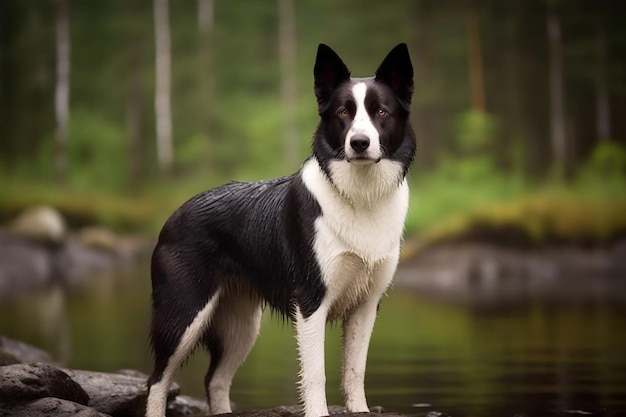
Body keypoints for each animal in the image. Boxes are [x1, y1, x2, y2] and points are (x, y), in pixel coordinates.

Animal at [144, 43, 412, 416]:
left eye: (381, 112)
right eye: (343, 113)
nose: (359, 143)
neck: (361, 196)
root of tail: (172, 216)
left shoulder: (367, 304)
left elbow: (355, 372)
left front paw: (359, 409)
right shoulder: (311, 300)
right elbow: (315, 374)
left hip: (241, 324)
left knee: (215, 380)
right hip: (184, 313)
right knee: (157, 381)